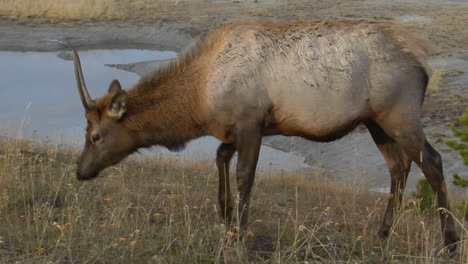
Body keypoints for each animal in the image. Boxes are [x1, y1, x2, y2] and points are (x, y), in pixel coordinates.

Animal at [74, 20, 460, 250]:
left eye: (96, 135)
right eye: (86, 130)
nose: (79, 171)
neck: (201, 99)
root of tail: (423, 61)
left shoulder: (252, 121)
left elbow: (245, 174)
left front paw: (240, 232)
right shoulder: (234, 127)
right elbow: (220, 156)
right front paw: (225, 213)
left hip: (400, 112)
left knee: (433, 161)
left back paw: (451, 241)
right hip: (376, 121)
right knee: (399, 166)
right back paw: (382, 232)